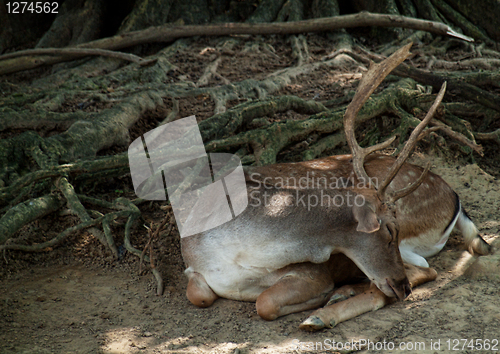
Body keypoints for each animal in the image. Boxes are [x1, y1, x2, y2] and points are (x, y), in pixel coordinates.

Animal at [179, 42, 488, 330]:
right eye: (389, 231)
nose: (403, 287)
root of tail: (455, 197)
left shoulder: (314, 271)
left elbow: (264, 301)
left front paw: (320, 299)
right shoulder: (191, 266)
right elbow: (199, 296)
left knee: (425, 272)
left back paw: (323, 312)